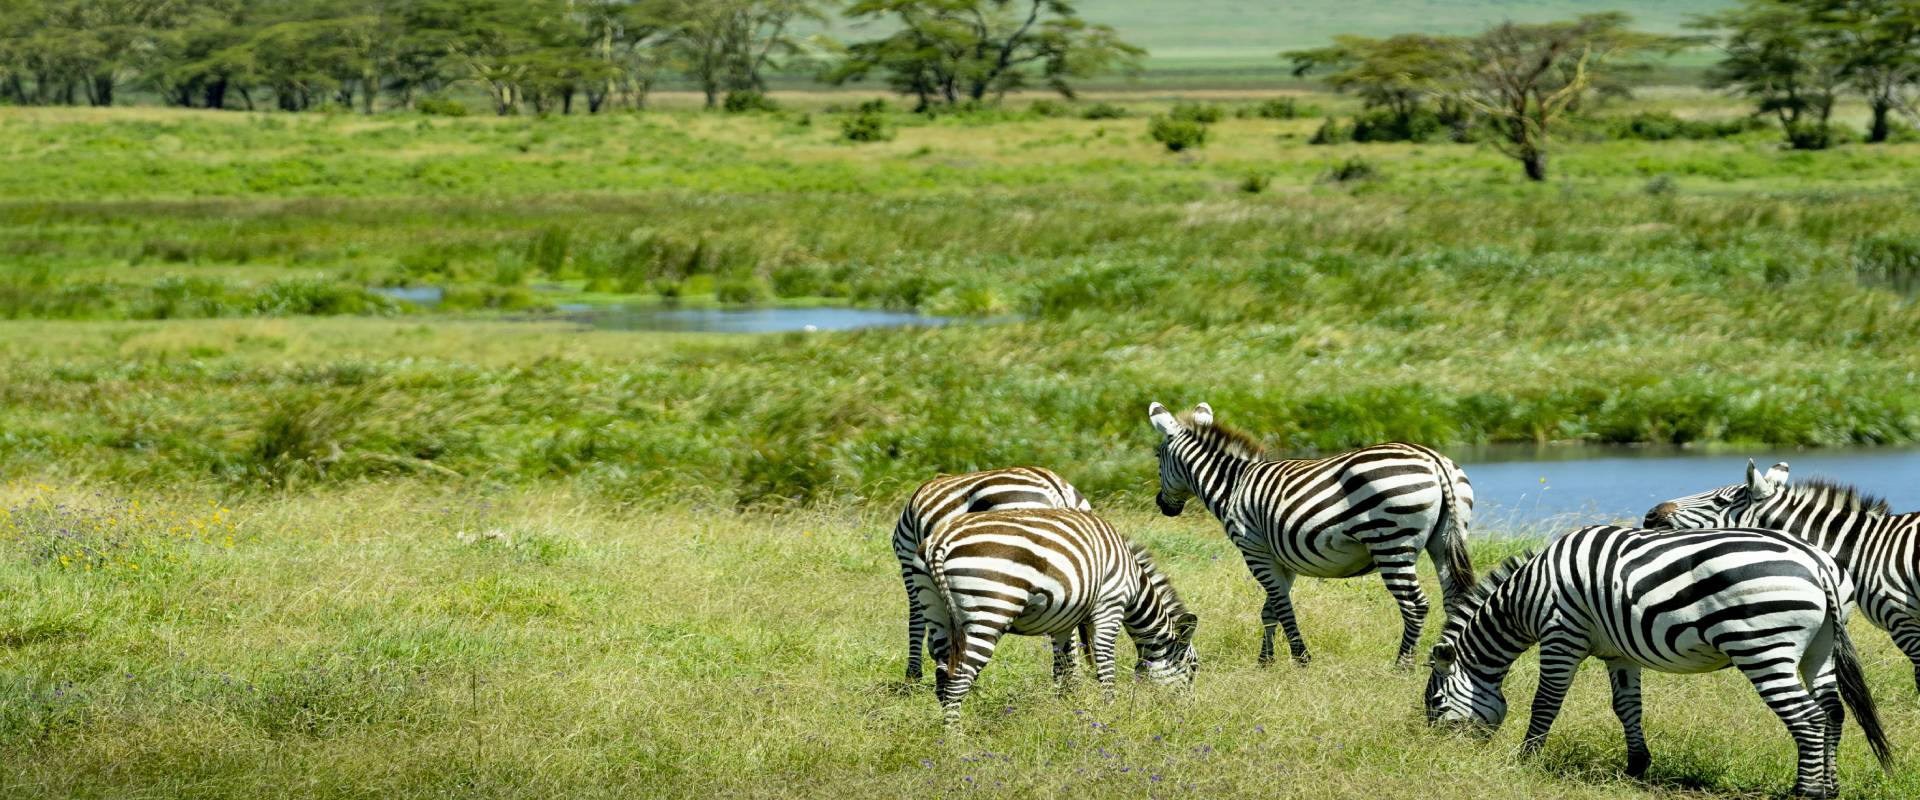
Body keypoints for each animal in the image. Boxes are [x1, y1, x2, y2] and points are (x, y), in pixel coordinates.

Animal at [920, 508, 1198, 724]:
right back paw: (957, 742)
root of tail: (941, 541)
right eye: (1193, 667)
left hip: (937, 613)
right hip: (988, 613)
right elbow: (1105, 665)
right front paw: (1111, 712)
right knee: (956, 681)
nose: (1187, 714)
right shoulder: (1110, 607)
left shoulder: (1063, 623)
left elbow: (1063, 669)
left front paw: (1063, 709)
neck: (1134, 585)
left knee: (942, 679)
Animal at [1147, 401, 1475, 668]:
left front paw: (1300, 657)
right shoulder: (1281, 557)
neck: (1233, 485)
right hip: (1444, 541)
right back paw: (1444, 657)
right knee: (1455, 599)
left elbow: (1282, 606)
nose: (1162, 505)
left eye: (1157, 456)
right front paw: (1265, 661)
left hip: (1391, 543)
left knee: (1415, 605)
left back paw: (1402, 665)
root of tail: (1433, 459)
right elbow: (1270, 610)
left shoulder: (1254, 550)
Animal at [1426, 525, 1893, 799]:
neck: (1525, 599)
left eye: (1435, 705)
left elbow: (1546, 702)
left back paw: (1805, 791)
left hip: (1763, 646)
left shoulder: (1562, 635)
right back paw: (1830, 789)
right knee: (1832, 712)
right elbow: (1627, 707)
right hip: (1821, 647)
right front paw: (1636, 766)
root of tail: (1816, 562)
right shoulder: (1619, 652)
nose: (1439, 759)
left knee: (1807, 717)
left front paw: (1528, 759)